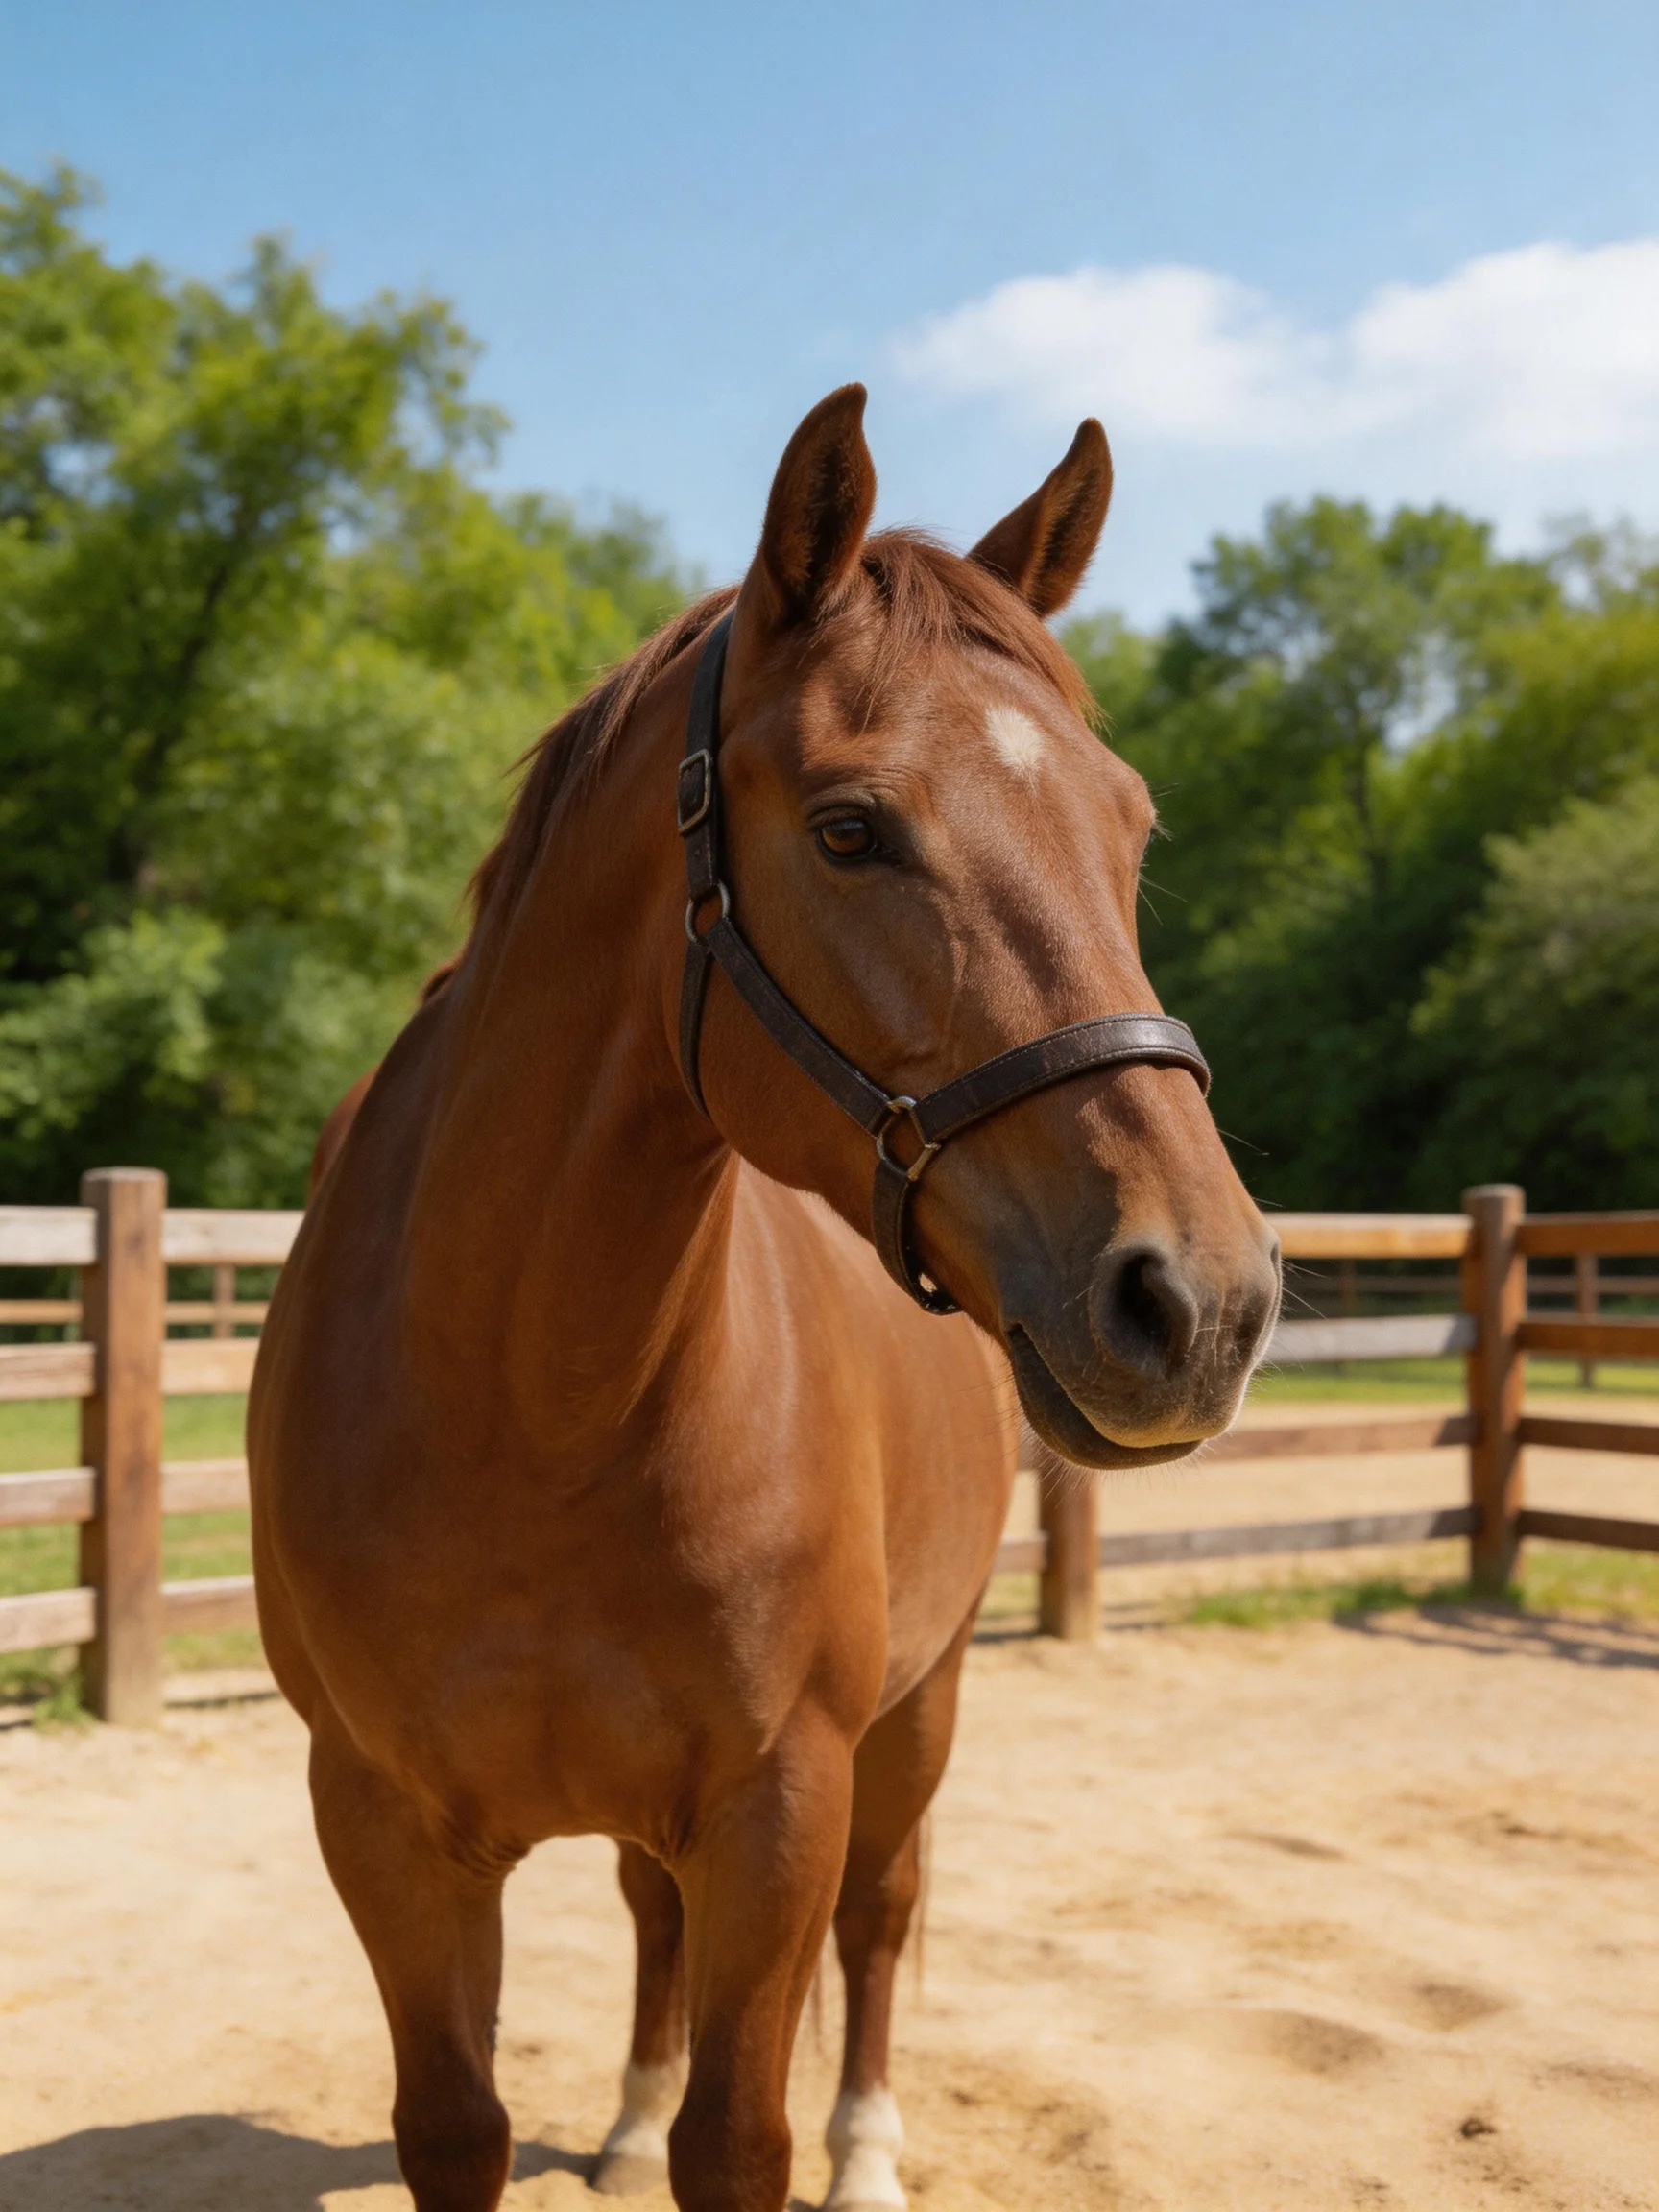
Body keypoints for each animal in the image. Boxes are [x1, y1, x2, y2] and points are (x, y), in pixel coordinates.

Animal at [249, 386, 1280, 2212]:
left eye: (1130, 827)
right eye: (849, 827)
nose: (1203, 1300)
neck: (526, 1402)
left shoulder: (782, 1802)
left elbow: (744, 2134)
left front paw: (784, 2137)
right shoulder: (383, 1826)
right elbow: (458, 2127)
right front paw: (626, 2111)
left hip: (918, 1709)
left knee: (880, 1923)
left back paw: (868, 2149)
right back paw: (625, 2109)